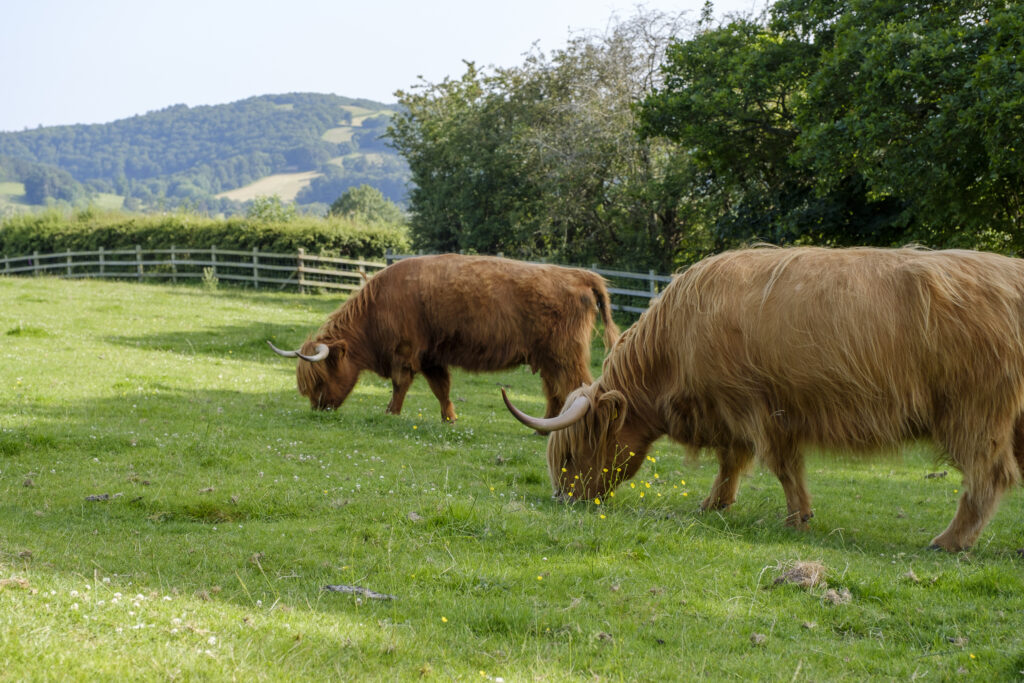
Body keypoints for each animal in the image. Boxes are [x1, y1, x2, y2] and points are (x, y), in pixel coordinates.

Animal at [268, 252, 614, 421]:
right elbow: (441, 389)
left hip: (564, 354)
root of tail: (580, 275)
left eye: (320, 378)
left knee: (577, 386)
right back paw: (540, 428)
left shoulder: (405, 353)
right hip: (548, 358)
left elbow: (400, 385)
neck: (376, 309)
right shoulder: (431, 357)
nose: (318, 408)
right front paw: (450, 418)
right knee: (555, 392)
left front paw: (390, 414)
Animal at [501, 248, 1024, 552]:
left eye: (571, 454)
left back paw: (948, 541)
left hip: (975, 410)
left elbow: (780, 466)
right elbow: (731, 461)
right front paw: (714, 505)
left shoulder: (759, 406)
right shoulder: (732, 412)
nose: (564, 499)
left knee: (987, 475)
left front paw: (797, 520)